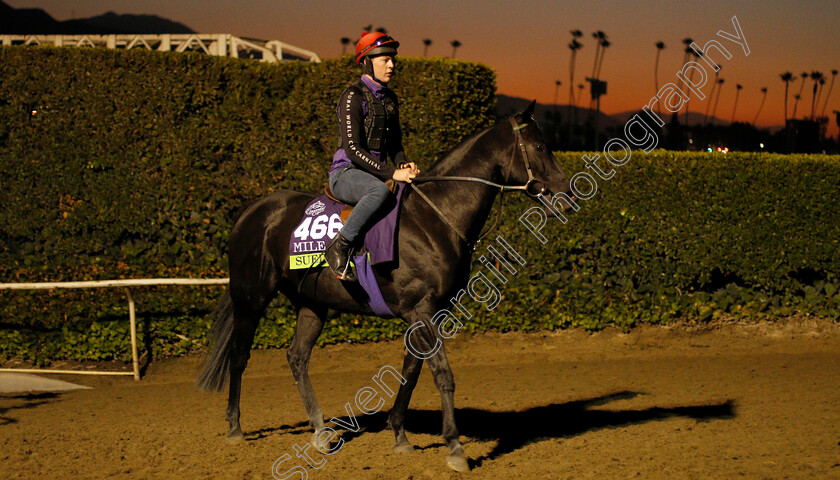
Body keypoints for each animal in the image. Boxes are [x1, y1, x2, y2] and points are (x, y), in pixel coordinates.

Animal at [198, 101, 576, 472]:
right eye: (540, 147)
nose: (566, 195)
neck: (433, 217)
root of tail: (253, 209)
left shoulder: (435, 310)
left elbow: (412, 368)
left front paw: (399, 434)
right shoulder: (420, 308)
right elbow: (441, 372)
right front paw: (454, 447)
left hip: (311, 303)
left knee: (297, 357)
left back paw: (321, 431)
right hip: (251, 296)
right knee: (239, 355)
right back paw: (235, 427)